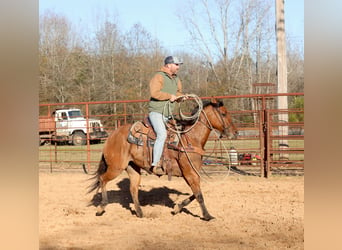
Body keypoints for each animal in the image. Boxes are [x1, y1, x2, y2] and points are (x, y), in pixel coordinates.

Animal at [88, 97, 238, 221]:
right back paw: (101, 208)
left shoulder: (192, 174)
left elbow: (195, 193)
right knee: (102, 179)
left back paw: (140, 212)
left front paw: (177, 208)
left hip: (132, 168)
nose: (235, 133)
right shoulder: (190, 173)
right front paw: (207, 216)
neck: (190, 138)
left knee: (133, 188)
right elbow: (199, 195)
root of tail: (112, 136)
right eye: (224, 114)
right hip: (115, 167)